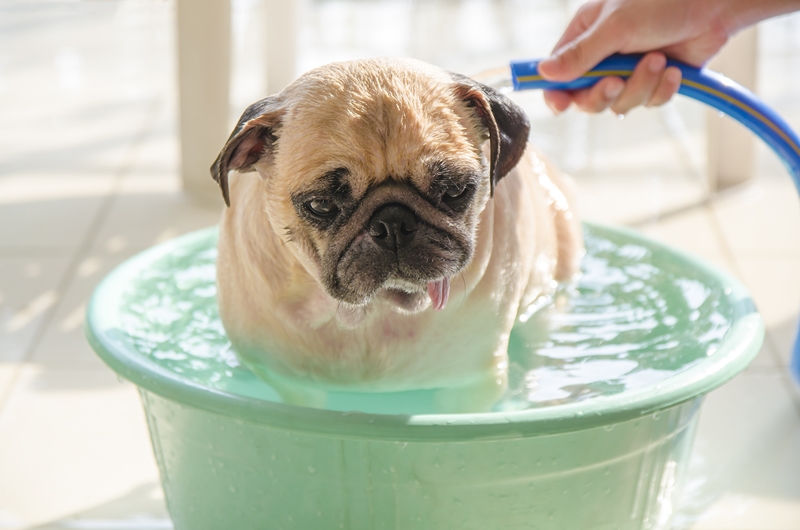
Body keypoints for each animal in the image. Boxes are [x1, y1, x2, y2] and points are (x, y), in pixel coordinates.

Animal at [209, 58, 580, 412]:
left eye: (455, 191)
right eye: (321, 205)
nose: (392, 224)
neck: (373, 315)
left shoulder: (470, 383)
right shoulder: (286, 380)